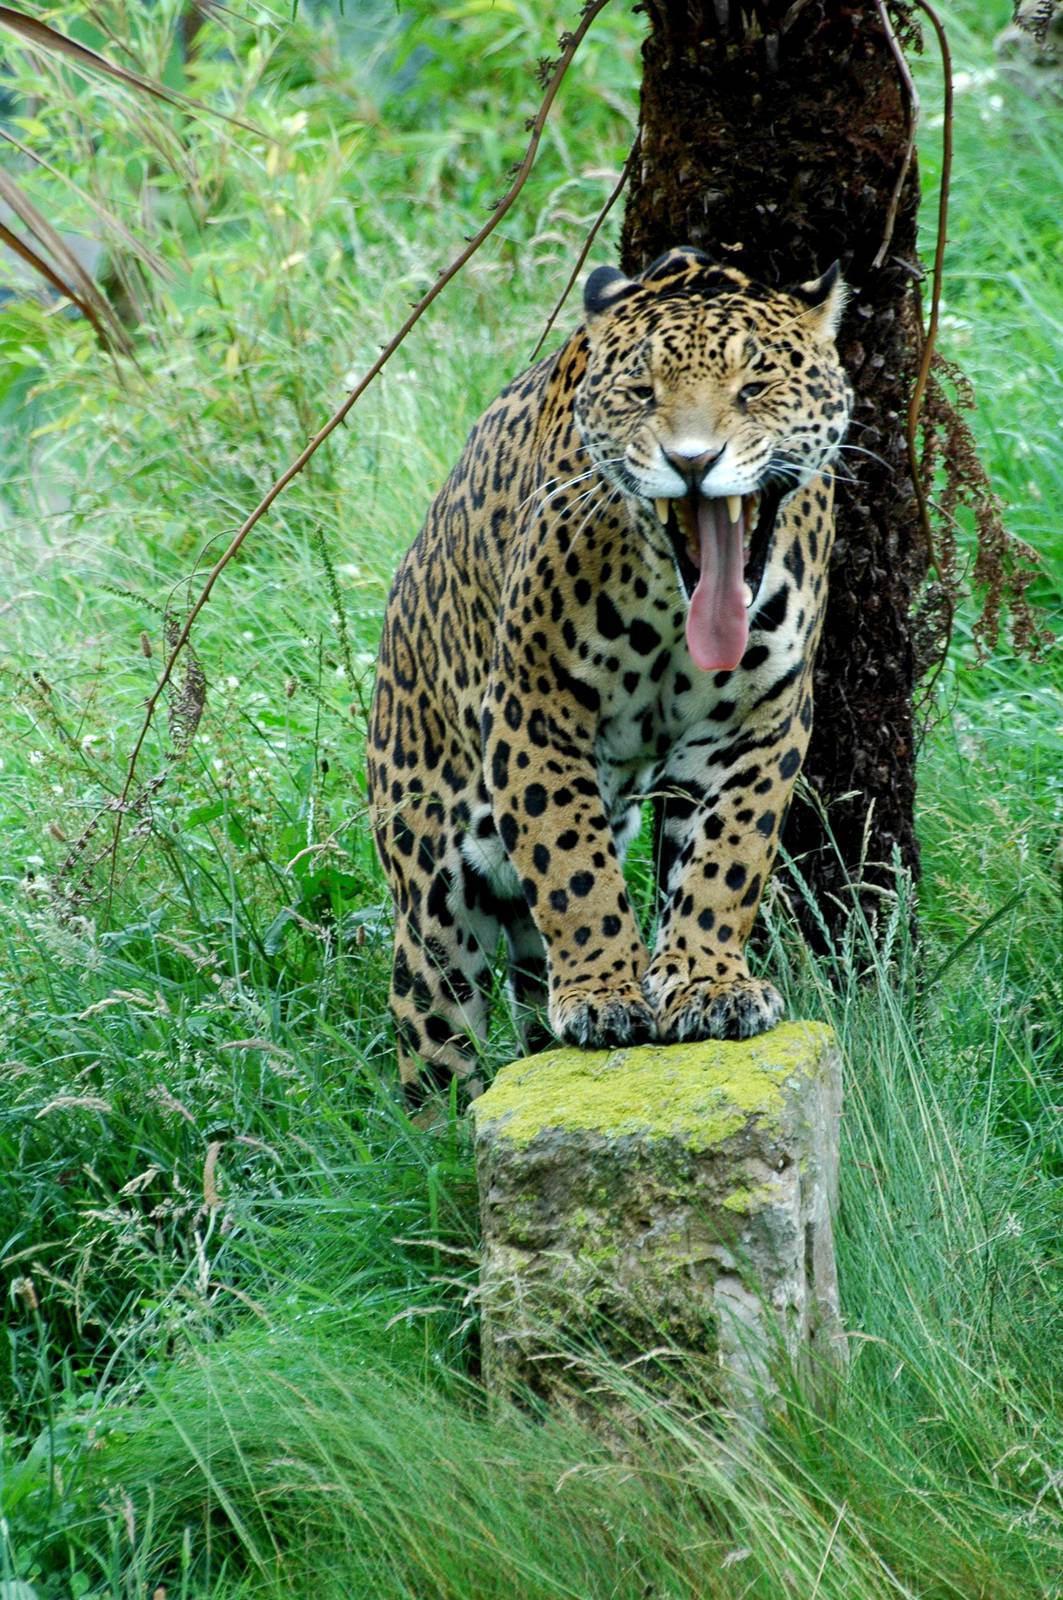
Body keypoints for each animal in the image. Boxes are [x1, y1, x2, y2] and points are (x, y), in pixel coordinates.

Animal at [367, 245, 852, 1102]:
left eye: (754, 387)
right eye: (640, 393)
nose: (692, 463)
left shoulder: (761, 719)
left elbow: (726, 858)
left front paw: (708, 983)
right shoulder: (533, 710)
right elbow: (572, 864)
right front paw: (604, 994)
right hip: (429, 896)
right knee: (435, 1033)